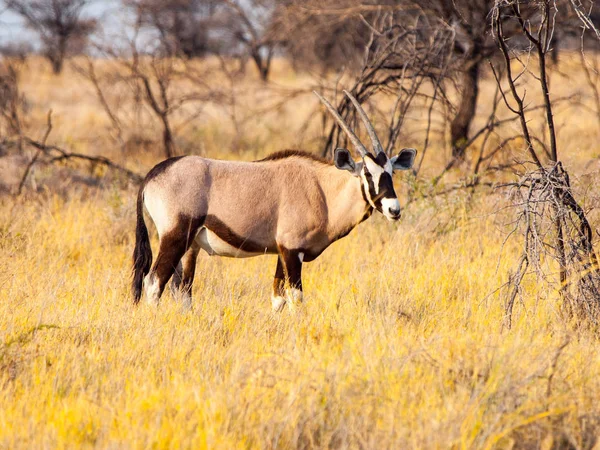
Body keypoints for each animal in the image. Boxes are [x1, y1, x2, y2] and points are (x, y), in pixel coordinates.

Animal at [132, 90, 418, 312]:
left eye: (391, 173)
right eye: (368, 173)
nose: (394, 209)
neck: (322, 190)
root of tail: (153, 175)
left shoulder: (282, 252)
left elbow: (277, 299)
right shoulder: (292, 251)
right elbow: (296, 297)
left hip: (190, 246)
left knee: (181, 289)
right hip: (175, 237)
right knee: (154, 282)